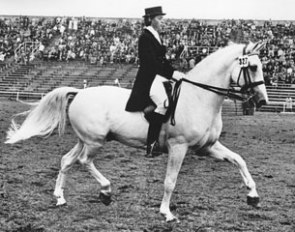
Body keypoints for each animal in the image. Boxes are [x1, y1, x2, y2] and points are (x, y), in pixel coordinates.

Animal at [4, 40, 270, 222]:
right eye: (252, 67)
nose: (261, 101)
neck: (198, 96)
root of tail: (79, 92)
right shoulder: (179, 147)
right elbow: (170, 181)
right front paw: (166, 213)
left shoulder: (207, 147)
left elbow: (239, 160)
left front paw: (253, 196)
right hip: (95, 142)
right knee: (83, 161)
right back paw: (105, 191)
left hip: (85, 139)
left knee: (67, 160)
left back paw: (60, 197)